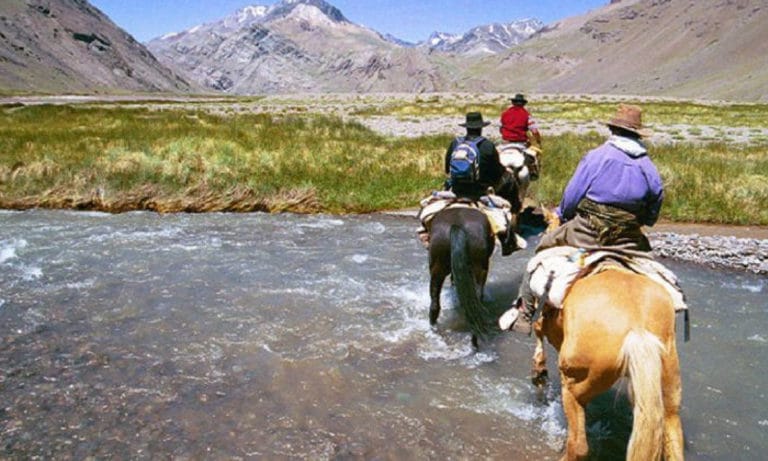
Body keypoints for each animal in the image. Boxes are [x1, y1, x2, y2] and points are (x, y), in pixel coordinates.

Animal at [528, 214, 684, 458]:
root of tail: (637, 328)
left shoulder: (541, 317)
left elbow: (537, 333)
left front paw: (539, 371)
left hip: (574, 386)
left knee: (579, 444)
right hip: (668, 387)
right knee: (672, 436)